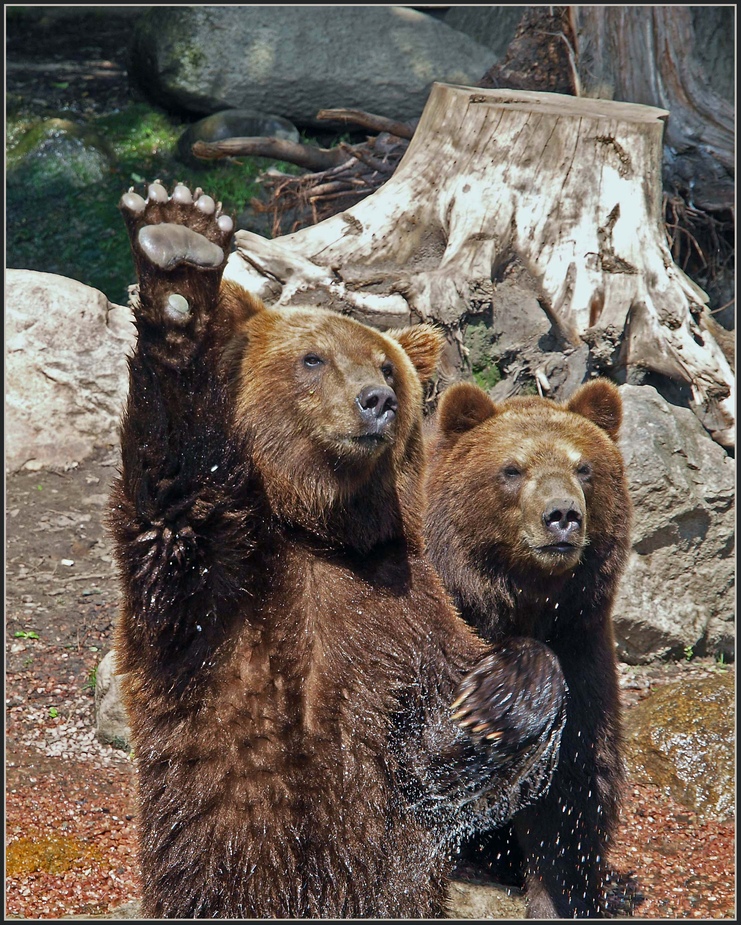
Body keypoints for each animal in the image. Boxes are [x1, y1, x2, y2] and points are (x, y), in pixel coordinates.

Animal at [107, 184, 568, 920]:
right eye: (313, 358)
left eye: (386, 367)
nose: (376, 400)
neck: (318, 531)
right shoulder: (212, 589)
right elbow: (172, 488)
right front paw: (179, 253)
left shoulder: (406, 605)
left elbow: (445, 745)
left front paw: (494, 699)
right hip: (221, 876)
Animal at [422, 380, 632, 916]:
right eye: (512, 469)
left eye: (584, 467)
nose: (562, 516)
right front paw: (490, 702)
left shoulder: (581, 641)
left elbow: (574, 791)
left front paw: (563, 895)